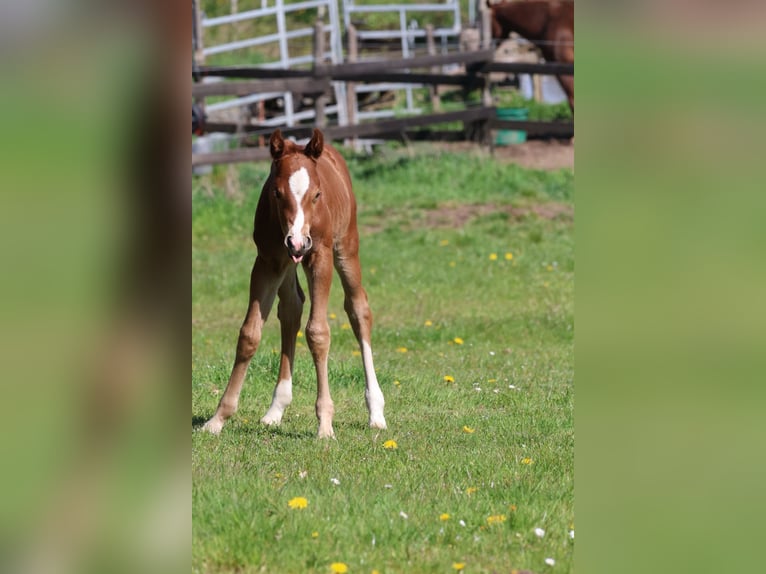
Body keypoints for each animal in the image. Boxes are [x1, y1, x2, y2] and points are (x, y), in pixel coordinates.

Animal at [202, 128, 387, 439]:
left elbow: (318, 333)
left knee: (358, 309)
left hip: (345, 247)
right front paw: (218, 419)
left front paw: (325, 425)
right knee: (291, 308)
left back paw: (376, 411)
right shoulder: (267, 262)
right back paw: (275, 410)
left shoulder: (319, 257)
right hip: (287, 263)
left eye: (317, 194)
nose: (298, 242)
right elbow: (250, 334)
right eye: (276, 193)